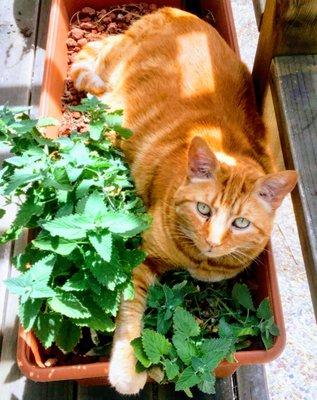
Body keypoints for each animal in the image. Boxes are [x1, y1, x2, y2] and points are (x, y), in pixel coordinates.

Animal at [69, 7, 296, 396]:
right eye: (203, 209)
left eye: (240, 223)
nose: (213, 241)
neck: (198, 261)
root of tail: (174, 11)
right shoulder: (141, 257)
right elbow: (131, 318)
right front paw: (128, 371)